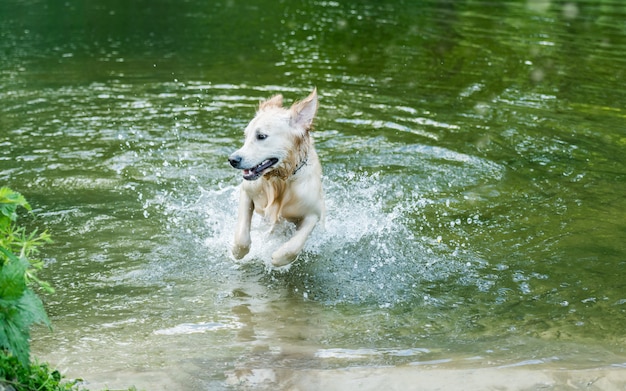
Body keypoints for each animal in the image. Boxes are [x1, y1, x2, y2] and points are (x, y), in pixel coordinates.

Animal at [228, 88, 324, 266]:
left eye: (261, 136)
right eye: (246, 136)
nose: (232, 159)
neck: (280, 179)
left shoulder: (314, 212)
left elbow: (294, 245)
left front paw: (278, 258)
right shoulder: (246, 191)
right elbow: (241, 234)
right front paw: (238, 251)